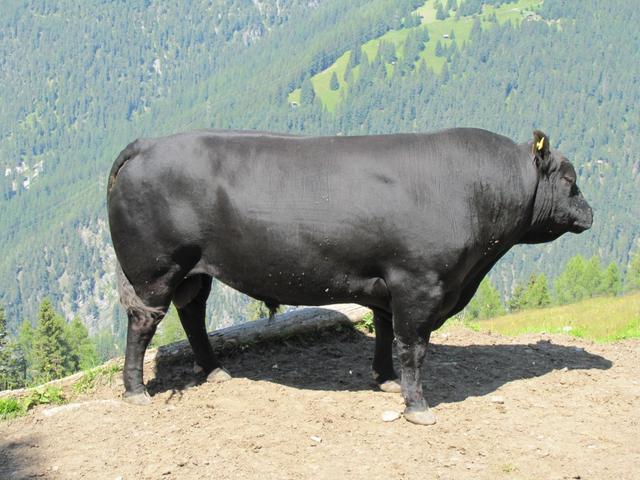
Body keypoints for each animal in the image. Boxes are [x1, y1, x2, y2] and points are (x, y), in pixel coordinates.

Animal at [107, 127, 592, 424]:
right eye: (570, 179)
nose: (590, 213)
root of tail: (148, 143)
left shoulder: (390, 285)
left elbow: (385, 331)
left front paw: (384, 379)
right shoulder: (419, 284)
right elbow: (413, 347)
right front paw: (417, 405)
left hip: (195, 270)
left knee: (193, 314)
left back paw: (213, 371)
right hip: (155, 269)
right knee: (144, 322)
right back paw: (135, 390)